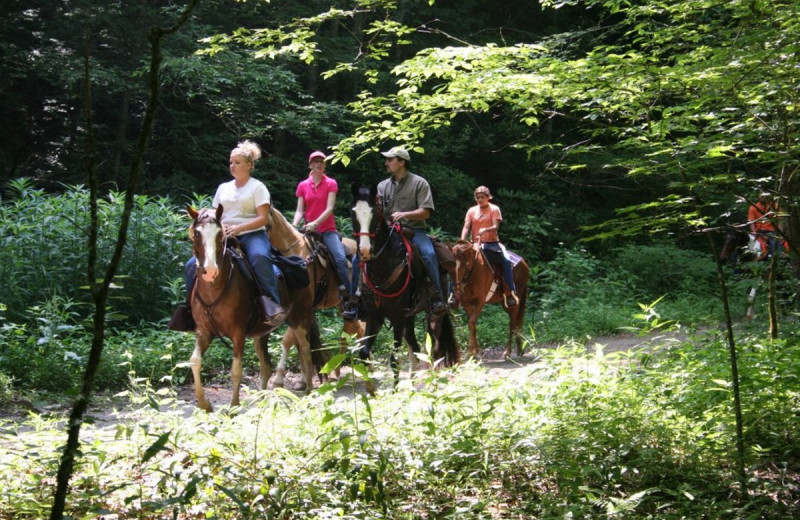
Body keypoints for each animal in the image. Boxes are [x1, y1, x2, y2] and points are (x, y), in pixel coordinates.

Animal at [188, 204, 322, 410]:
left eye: (220, 234)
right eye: (196, 233)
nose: (210, 271)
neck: (215, 288)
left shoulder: (238, 333)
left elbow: (236, 370)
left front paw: (234, 406)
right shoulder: (203, 331)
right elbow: (194, 361)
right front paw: (205, 404)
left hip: (300, 318)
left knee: (306, 352)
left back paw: (308, 392)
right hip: (262, 331)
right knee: (266, 365)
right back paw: (261, 399)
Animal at [268, 205, 368, 388]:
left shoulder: (302, 306)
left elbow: (289, 339)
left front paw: (279, 379)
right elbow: (295, 341)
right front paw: (302, 380)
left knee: (360, 329)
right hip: (342, 305)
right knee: (349, 330)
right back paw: (338, 371)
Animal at [352, 185, 460, 388]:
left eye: (374, 213)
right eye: (353, 212)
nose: (364, 251)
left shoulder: (397, 317)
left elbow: (394, 359)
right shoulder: (375, 315)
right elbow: (364, 353)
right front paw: (372, 391)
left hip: (433, 315)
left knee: (435, 350)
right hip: (409, 318)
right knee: (416, 351)